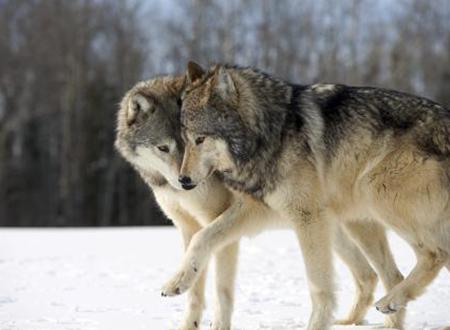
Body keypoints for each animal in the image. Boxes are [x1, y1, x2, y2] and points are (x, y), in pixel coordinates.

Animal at [115, 75, 404, 330]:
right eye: (164, 148)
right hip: (331, 230)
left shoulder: (225, 220)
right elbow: (194, 287)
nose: (185, 182)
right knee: (369, 275)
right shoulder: (188, 227)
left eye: (195, 142)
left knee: (380, 274)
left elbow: (219, 284)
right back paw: (352, 321)